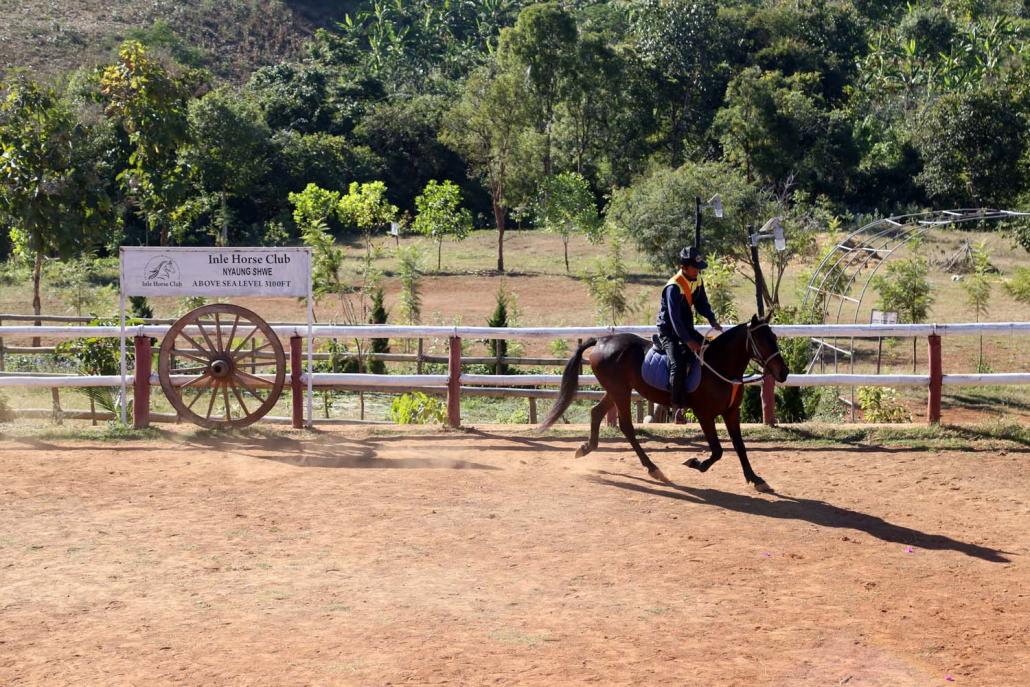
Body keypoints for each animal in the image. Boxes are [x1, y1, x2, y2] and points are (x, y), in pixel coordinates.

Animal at [539, 315, 786, 492]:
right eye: (761, 340)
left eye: (774, 337)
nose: (783, 372)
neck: (718, 366)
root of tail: (602, 340)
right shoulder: (704, 414)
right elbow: (717, 451)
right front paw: (695, 463)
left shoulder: (732, 412)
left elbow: (740, 447)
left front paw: (755, 479)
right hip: (620, 391)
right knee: (626, 426)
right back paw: (654, 469)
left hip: (615, 390)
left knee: (596, 413)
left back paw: (585, 449)